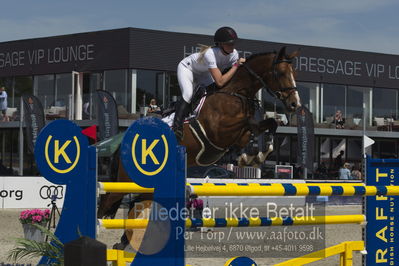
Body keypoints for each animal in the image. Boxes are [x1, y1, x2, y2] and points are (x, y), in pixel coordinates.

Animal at [98, 46, 302, 221]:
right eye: (281, 73)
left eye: (294, 73)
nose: (295, 104)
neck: (236, 94)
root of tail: (123, 143)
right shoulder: (220, 132)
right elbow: (248, 126)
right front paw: (248, 156)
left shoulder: (241, 132)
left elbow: (269, 124)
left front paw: (260, 153)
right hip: (126, 180)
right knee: (107, 202)